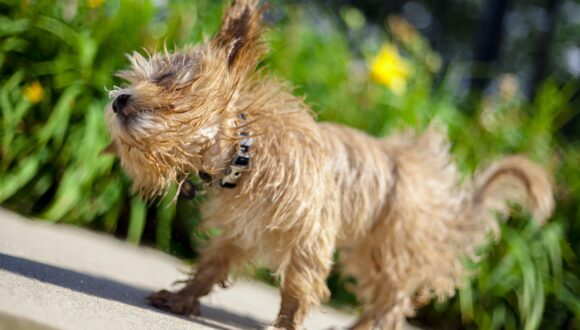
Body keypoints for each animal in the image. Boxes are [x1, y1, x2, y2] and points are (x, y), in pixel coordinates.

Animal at [103, 1, 552, 328]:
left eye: (169, 85)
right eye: (139, 77)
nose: (118, 99)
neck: (245, 157)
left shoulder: (309, 233)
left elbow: (299, 286)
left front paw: (285, 325)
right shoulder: (240, 230)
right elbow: (210, 266)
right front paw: (182, 298)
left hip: (386, 251)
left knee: (391, 301)